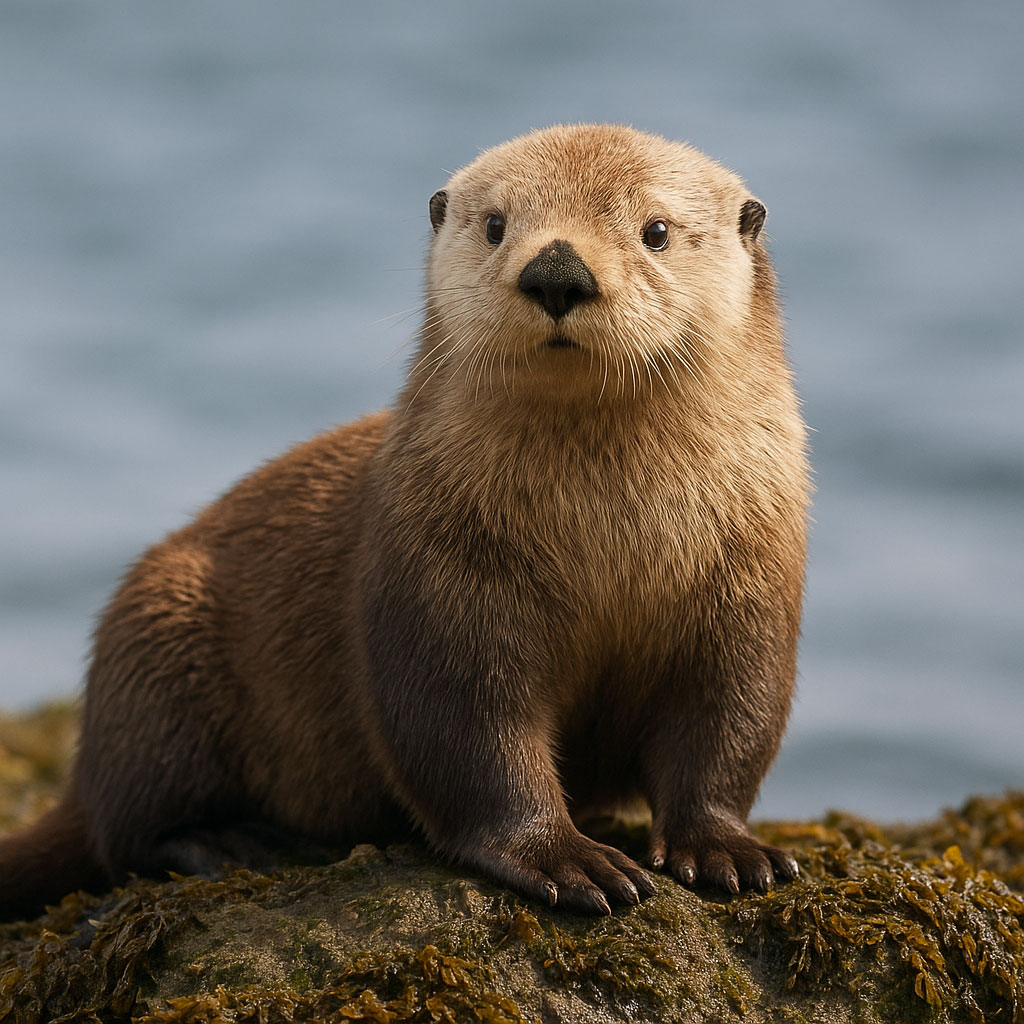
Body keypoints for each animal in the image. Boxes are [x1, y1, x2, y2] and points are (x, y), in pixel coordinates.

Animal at [0, 124, 808, 920]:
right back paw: (231, 844)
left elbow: (727, 729)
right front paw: (565, 858)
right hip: (159, 644)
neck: (606, 535)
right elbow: (470, 738)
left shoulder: (749, 589)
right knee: (123, 831)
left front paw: (727, 850)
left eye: (656, 230)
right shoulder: (436, 576)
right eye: (496, 224)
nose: (557, 271)